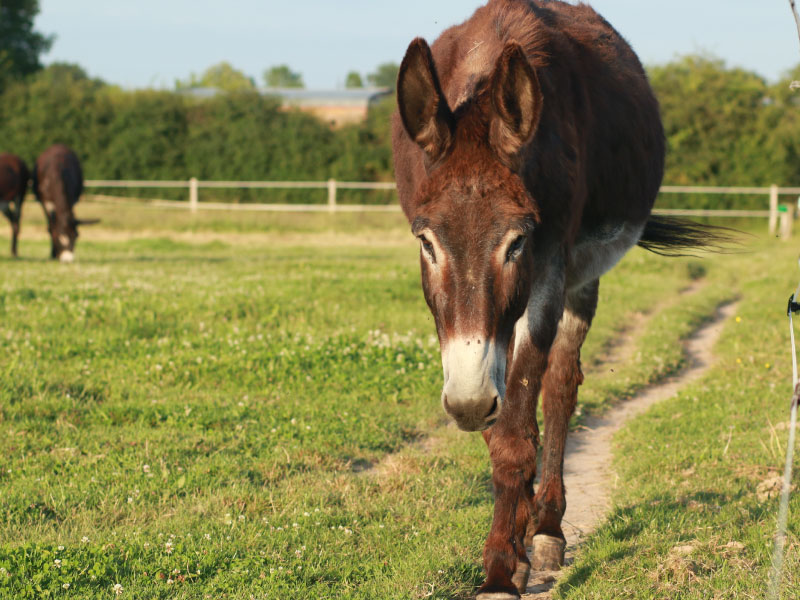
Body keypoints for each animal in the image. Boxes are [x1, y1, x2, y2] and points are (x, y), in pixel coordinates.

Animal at [391, 1, 719, 597]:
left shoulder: (549, 268)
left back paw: (545, 529)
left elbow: (519, 425)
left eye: (516, 242)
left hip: (581, 279)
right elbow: (503, 426)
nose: (467, 405)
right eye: (426, 242)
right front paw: (508, 550)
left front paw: (502, 567)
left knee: (561, 386)